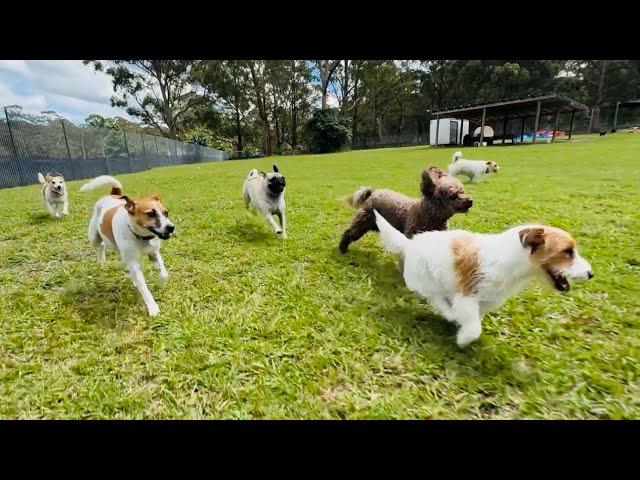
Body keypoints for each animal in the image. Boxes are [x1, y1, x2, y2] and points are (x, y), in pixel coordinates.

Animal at [79, 174, 175, 316]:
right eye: (150, 214)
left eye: (166, 212)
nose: (171, 227)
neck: (141, 237)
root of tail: (112, 195)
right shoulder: (133, 262)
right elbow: (143, 286)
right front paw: (152, 307)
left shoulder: (153, 253)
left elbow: (163, 273)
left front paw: (161, 283)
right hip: (94, 237)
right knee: (100, 246)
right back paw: (101, 260)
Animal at [340, 166, 470, 255]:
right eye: (453, 196)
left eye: (462, 191)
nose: (470, 201)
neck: (429, 215)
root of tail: (371, 194)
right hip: (362, 223)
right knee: (348, 233)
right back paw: (342, 249)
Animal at [372, 210, 592, 348]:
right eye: (567, 251)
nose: (591, 274)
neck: (508, 259)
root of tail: (410, 244)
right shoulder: (467, 294)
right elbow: (473, 328)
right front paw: (463, 338)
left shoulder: (485, 301)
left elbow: (475, 319)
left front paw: (462, 327)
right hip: (425, 281)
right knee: (435, 298)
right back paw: (449, 313)